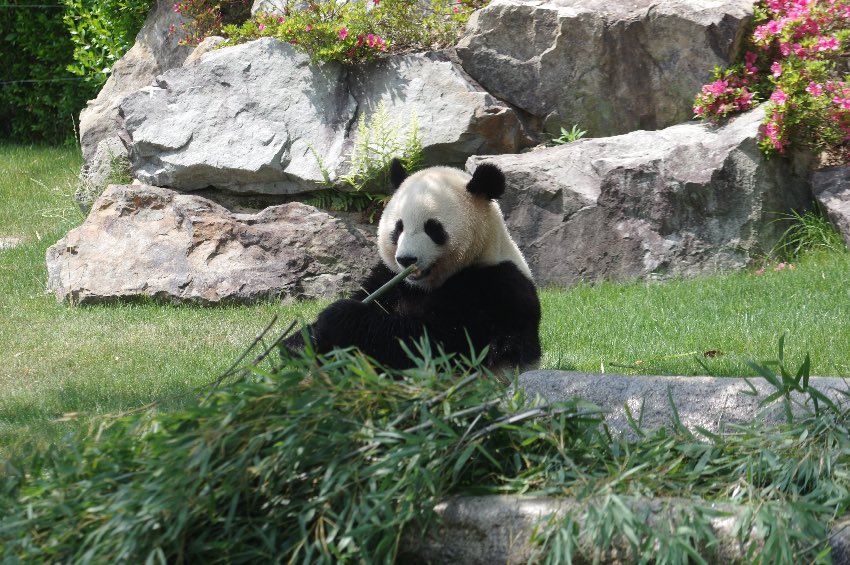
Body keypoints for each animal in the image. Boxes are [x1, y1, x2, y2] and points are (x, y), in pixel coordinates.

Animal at [284, 156, 536, 372]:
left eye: (433, 228)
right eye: (398, 228)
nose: (406, 260)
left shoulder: (492, 286)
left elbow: (430, 341)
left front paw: (339, 317)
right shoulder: (388, 278)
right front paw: (302, 339)